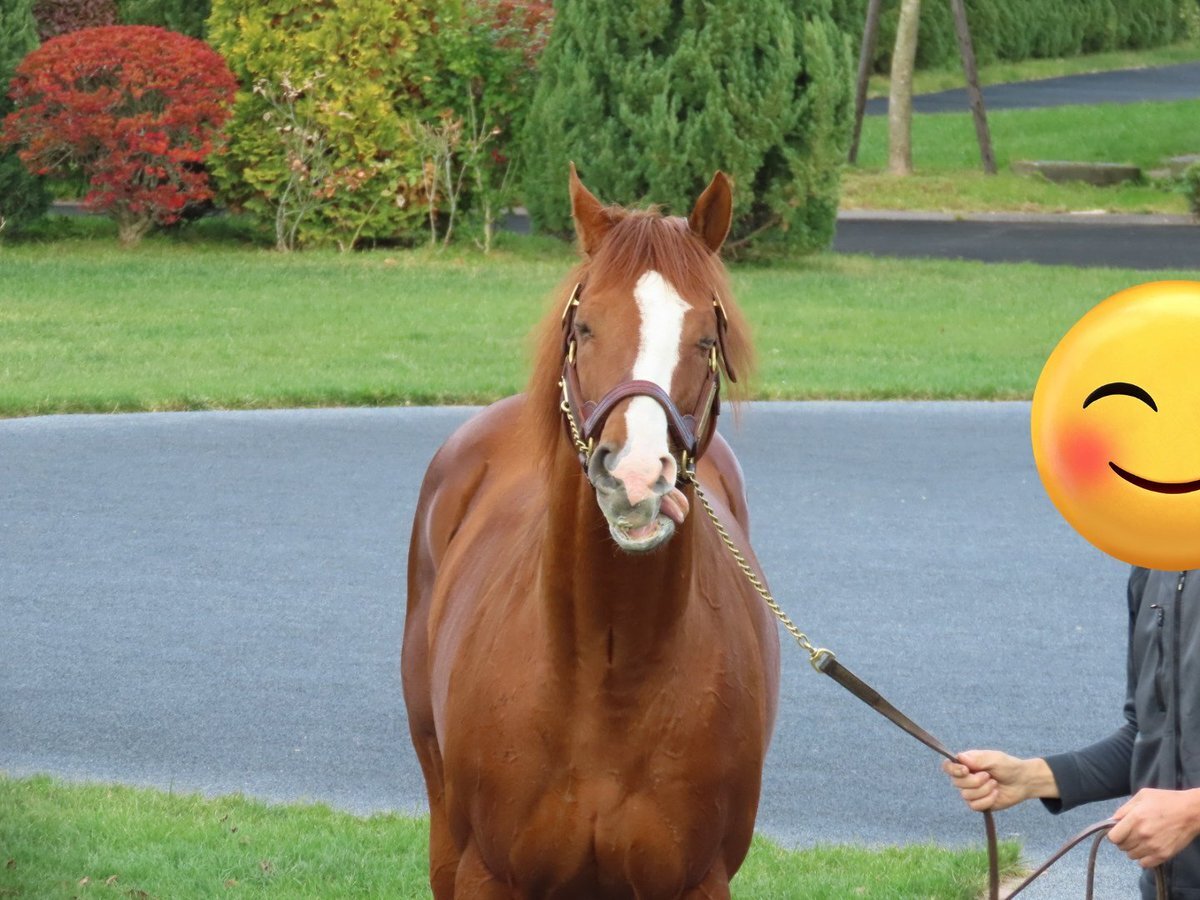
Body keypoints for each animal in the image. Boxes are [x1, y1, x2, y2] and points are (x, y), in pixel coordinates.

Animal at [403, 164, 781, 899]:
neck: (607, 680)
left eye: (705, 338)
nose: (634, 477)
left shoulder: (699, 881)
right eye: (584, 325)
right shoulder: (486, 873)